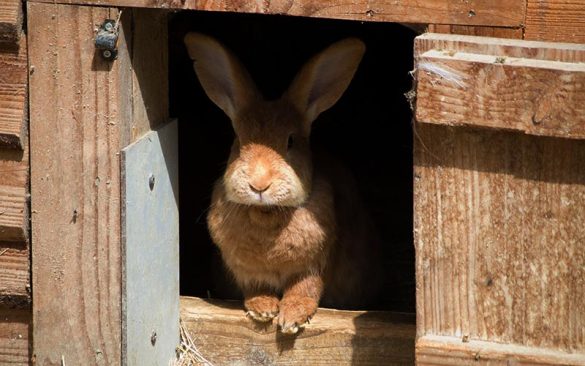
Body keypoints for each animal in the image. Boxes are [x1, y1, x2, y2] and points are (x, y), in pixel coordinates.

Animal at [185, 34, 380, 334]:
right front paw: (263, 309)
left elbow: (305, 288)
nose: (259, 185)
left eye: (291, 141)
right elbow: (256, 288)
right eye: (238, 140)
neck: (266, 214)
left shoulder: (314, 266)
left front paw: (291, 318)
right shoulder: (247, 272)